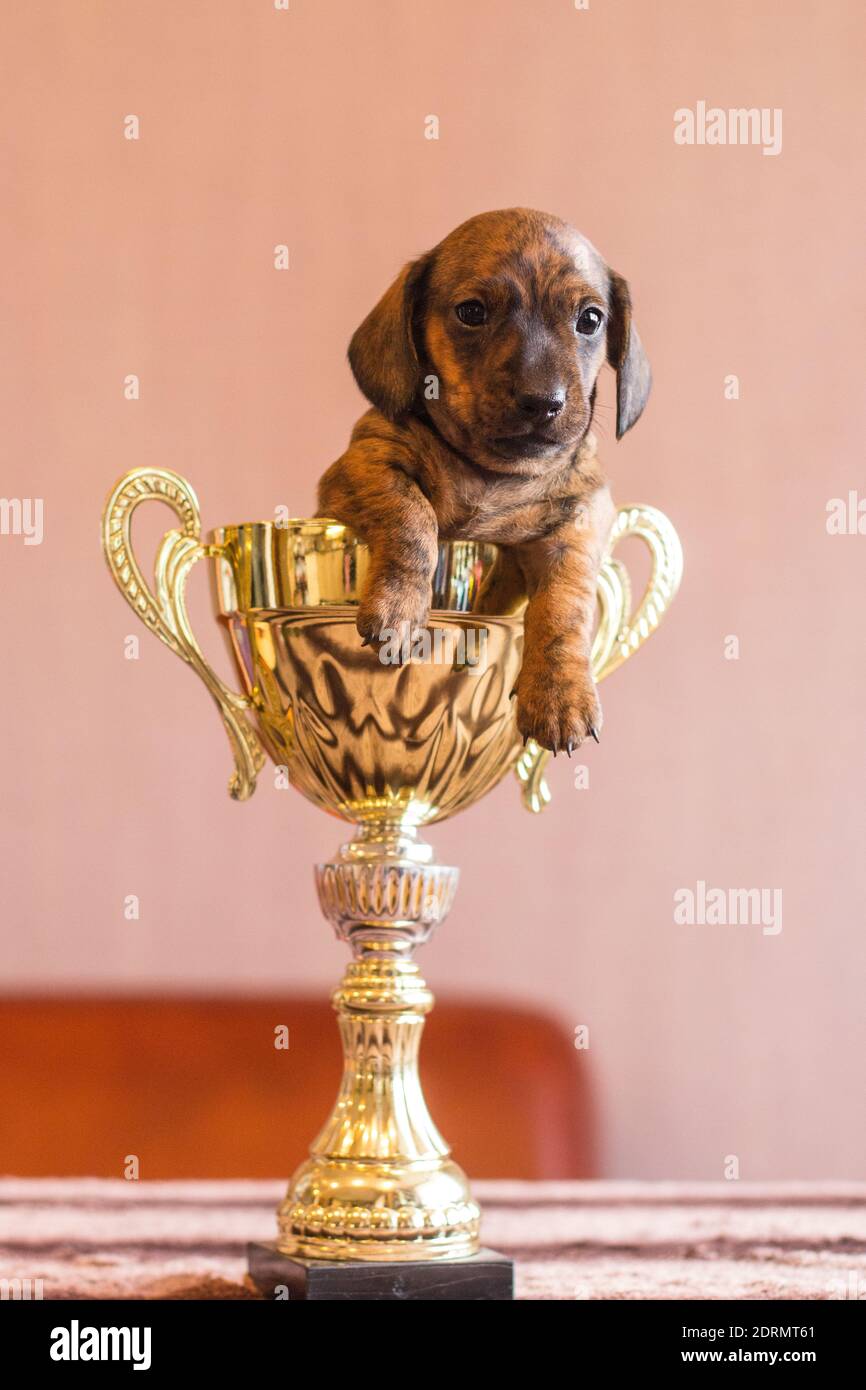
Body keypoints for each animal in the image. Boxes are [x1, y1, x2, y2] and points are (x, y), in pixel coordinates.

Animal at [318, 205, 650, 756]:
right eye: (471, 312)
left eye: (590, 320)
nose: (543, 401)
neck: (493, 474)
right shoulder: (363, 464)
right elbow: (413, 517)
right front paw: (399, 609)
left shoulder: (586, 512)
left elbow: (564, 602)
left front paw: (560, 694)